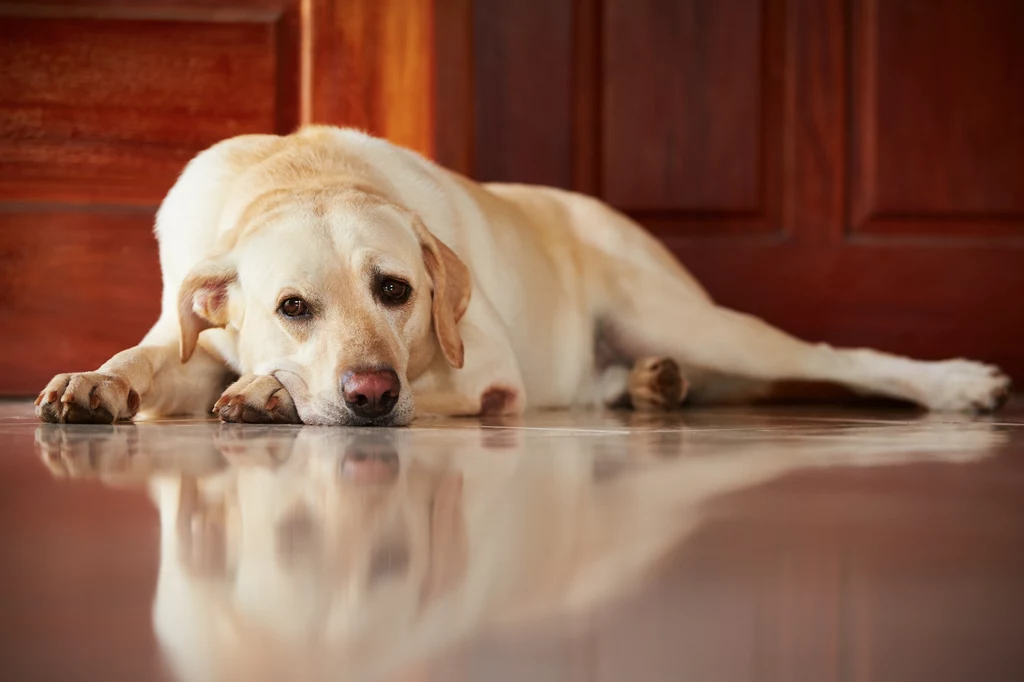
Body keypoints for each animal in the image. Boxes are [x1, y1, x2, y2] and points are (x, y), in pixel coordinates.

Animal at [34, 125, 1015, 425]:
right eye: (292, 306)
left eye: (397, 290)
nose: (369, 393)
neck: (299, 172)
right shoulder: (190, 338)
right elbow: (148, 358)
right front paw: (95, 381)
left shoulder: (488, 376)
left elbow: (435, 386)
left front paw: (270, 394)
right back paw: (652, 386)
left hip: (687, 317)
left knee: (834, 357)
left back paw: (956, 384)